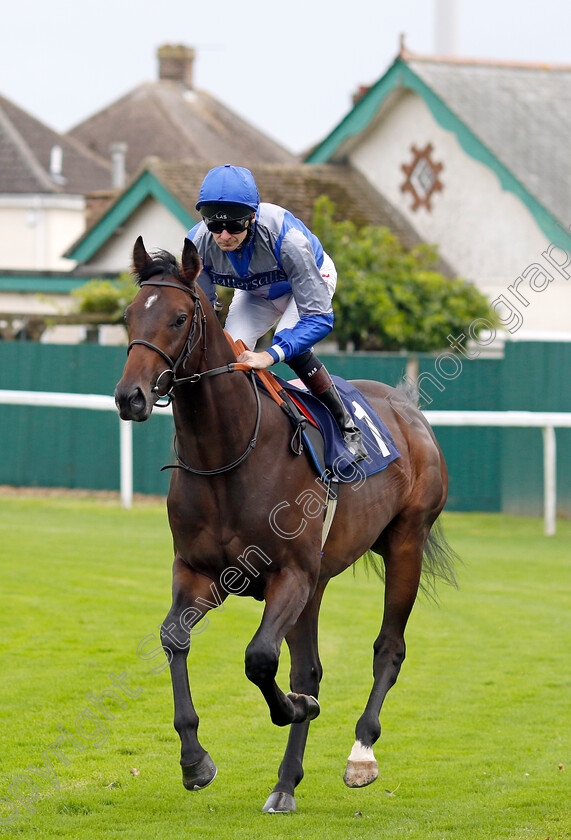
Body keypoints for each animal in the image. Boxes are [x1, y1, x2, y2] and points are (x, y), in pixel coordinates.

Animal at [115, 236, 456, 812]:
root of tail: (407, 409)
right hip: (317, 584)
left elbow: (258, 659)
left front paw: (297, 708)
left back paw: (360, 753)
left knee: (388, 648)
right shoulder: (199, 573)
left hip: (405, 542)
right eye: (128, 316)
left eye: (180, 318)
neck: (229, 453)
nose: (130, 396)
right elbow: (174, 637)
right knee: (308, 667)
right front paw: (194, 760)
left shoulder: (289, 575)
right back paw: (285, 783)